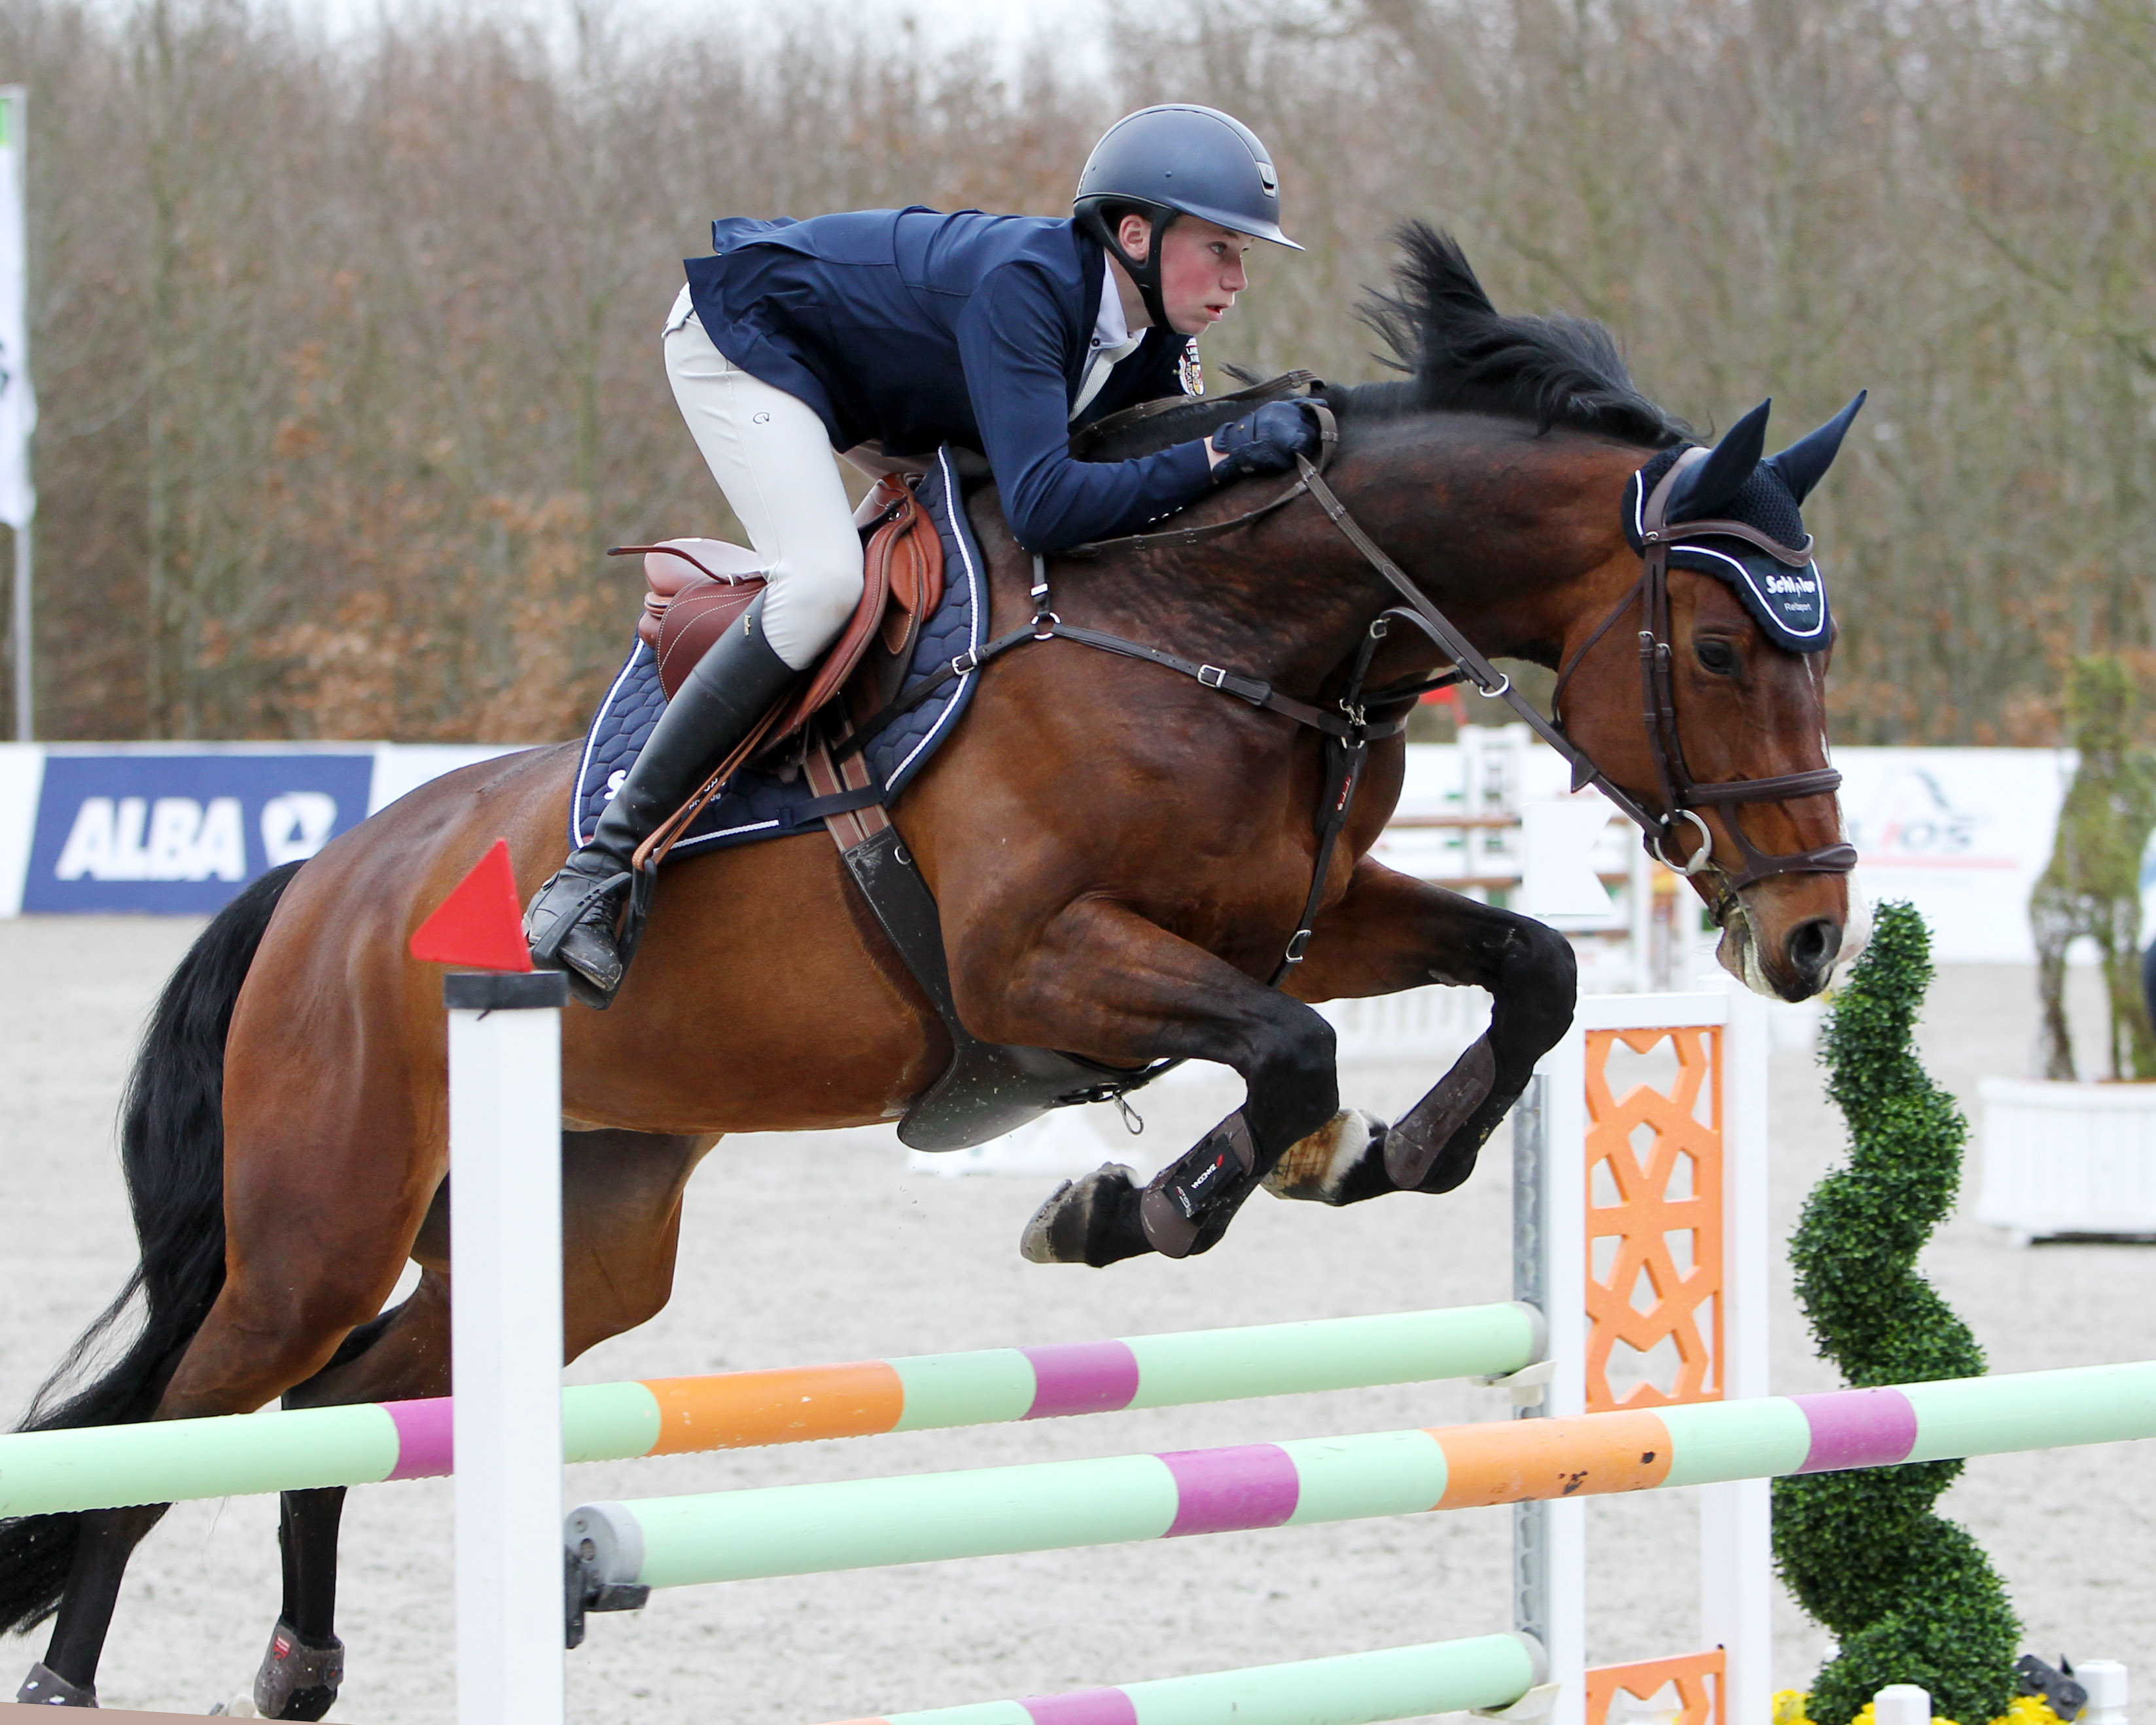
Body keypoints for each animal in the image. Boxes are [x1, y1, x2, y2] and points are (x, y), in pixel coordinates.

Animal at [0, 225, 1854, 1707]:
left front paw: (1387, 1152)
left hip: (576, 1241)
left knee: (342, 1408)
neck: (1226, 621)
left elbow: (1529, 966)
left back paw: (298, 1663)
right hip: (319, 1220)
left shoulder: (1298, 918)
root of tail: (323, 879)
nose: (1812, 934)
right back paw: (73, 1675)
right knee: (193, 1417)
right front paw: (1129, 1204)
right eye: (1712, 646)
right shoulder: (1035, 962)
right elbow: (1286, 1054)